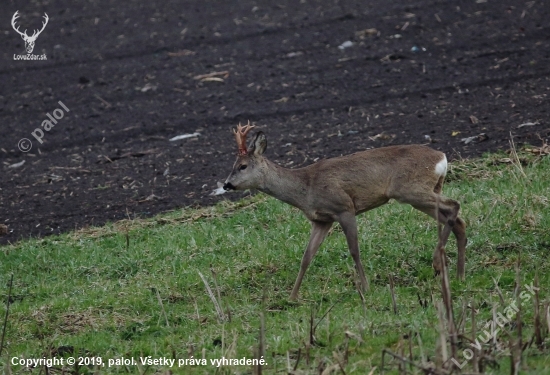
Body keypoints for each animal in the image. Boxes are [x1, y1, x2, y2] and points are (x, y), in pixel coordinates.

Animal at [222, 125, 468, 302]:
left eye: (242, 166)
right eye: (233, 165)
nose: (226, 184)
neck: (305, 188)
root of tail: (442, 157)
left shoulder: (344, 207)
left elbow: (354, 250)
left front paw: (366, 288)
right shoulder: (321, 220)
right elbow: (306, 257)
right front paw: (292, 297)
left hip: (410, 189)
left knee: (454, 206)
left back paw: (438, 263)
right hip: (425, 191)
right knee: (457, 220)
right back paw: (458, 274)